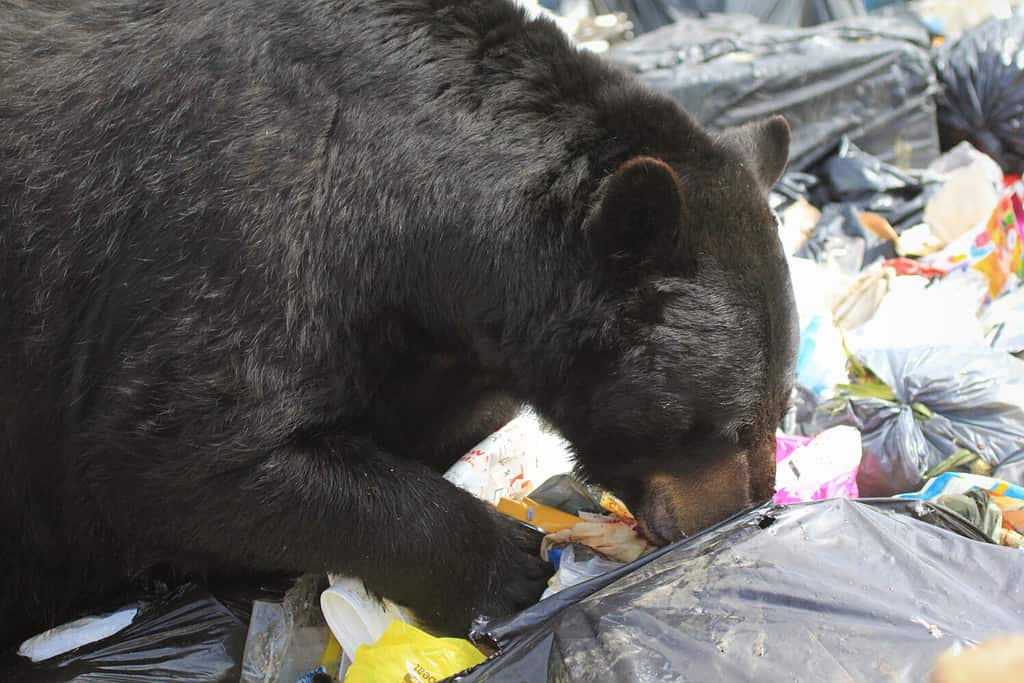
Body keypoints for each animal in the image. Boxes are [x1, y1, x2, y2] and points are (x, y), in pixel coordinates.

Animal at [0, 0, 798, 651]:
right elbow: (172, 453)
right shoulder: (246, 234)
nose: (748, 512)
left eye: (780, 407)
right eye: (726, 425)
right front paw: (506, 563)